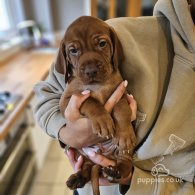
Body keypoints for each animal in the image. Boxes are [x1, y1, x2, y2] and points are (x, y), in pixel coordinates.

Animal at [55, 16, 136, 194]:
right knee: (86, 167)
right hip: (79, 151)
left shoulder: (121, 94)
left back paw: (116, 172)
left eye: (102, 44)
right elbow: (89, 100)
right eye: (73, 50)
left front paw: (125, 133)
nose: (91, 70)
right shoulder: (66, 101)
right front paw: (103, 121)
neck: (97, 85)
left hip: (123, 153)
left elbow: (122, 111)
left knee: (126, 163)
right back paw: (78, 178)